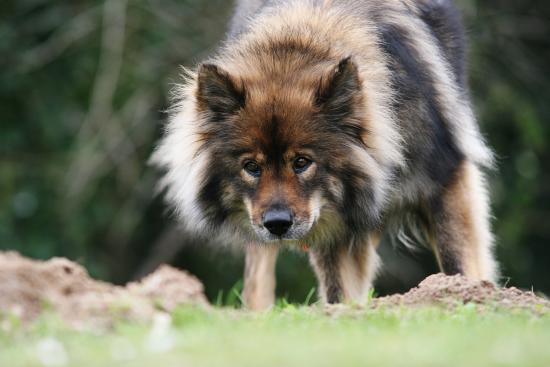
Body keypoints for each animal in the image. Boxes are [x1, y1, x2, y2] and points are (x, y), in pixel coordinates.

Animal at [151, 0, 500, 310]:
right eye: (251, 166)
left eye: (302, 162)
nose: (277, 224)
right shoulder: (331, 224)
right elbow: (338, 290)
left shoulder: (445, 181)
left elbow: (458, 262)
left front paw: (464, 298)